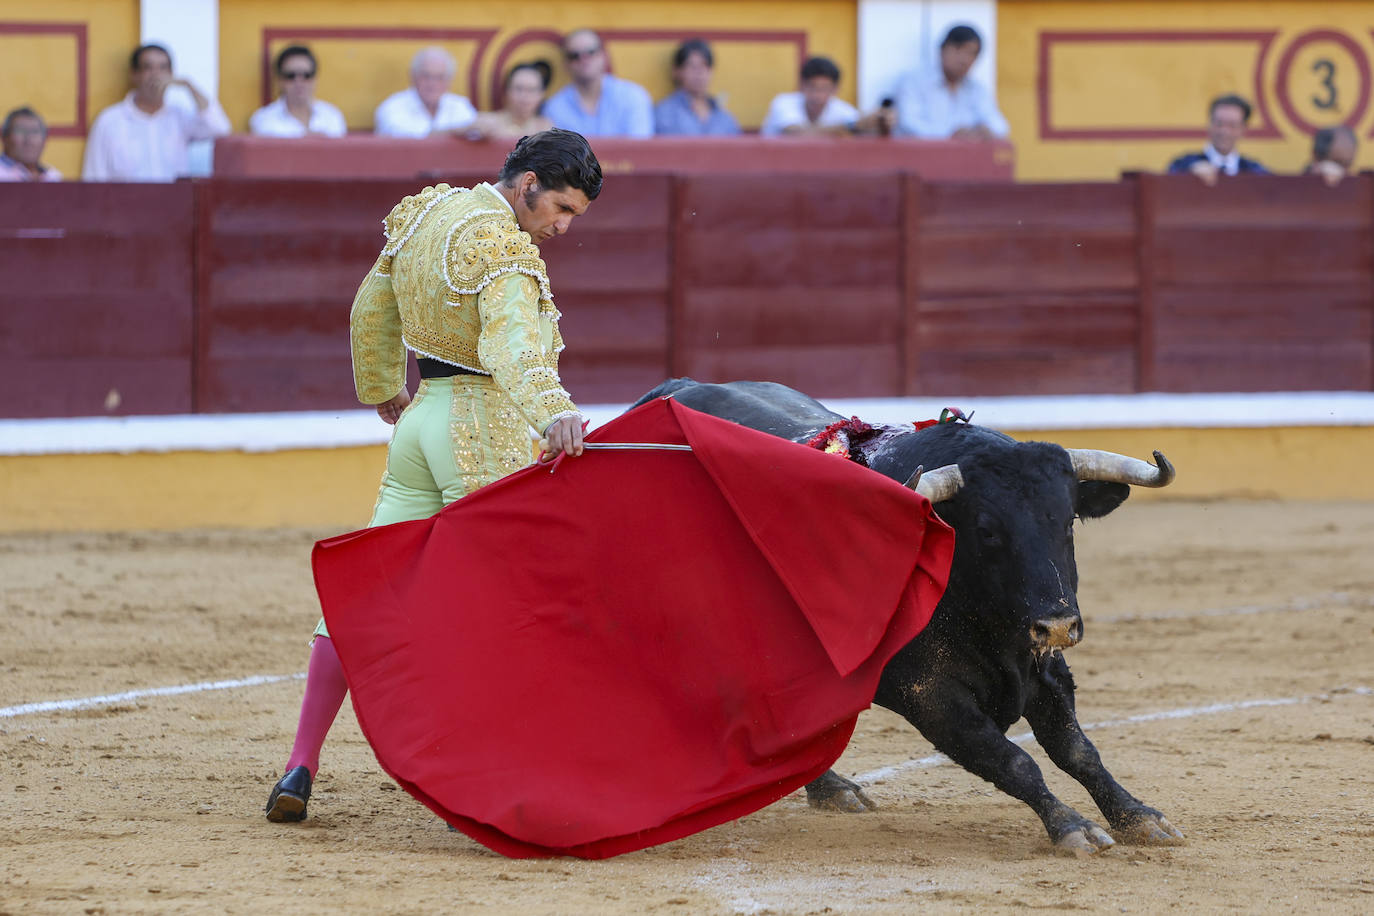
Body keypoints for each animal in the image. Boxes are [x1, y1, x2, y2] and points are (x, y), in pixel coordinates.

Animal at [632, 379, 1181, 851]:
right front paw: (1072, 827)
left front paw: (1140, 817)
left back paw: (830, 790)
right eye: (987, 530)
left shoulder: (1044, 671)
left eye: (1067, 521)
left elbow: (1078, 751)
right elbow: (1012, 760)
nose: (1058, 625)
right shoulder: (929, 695)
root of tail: (670, 389)